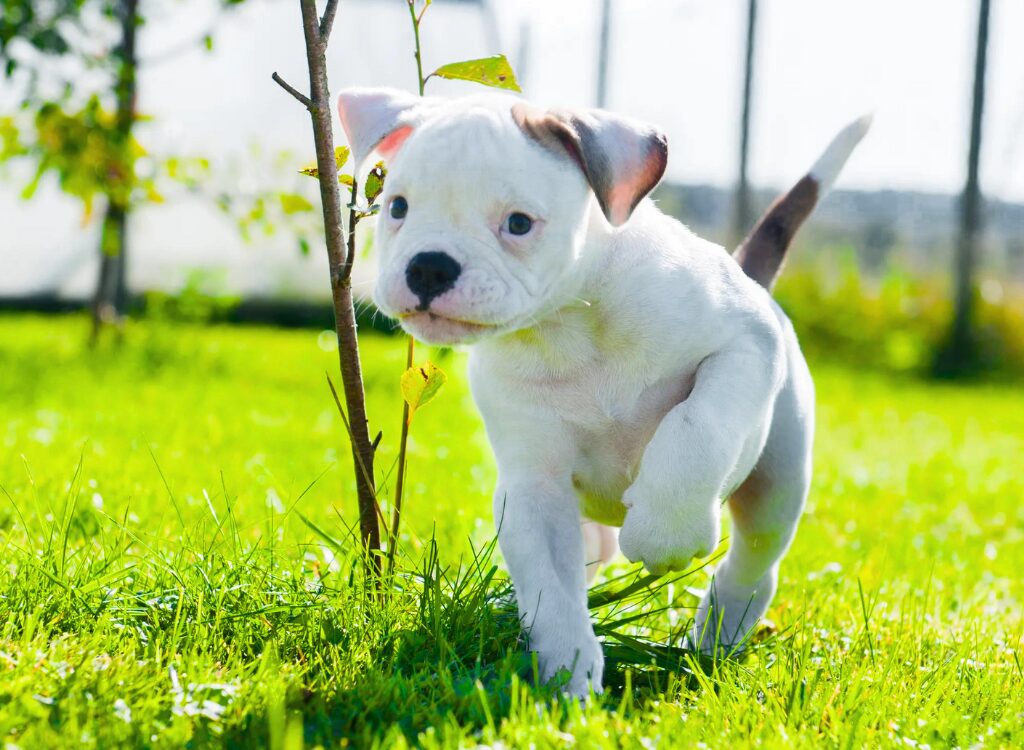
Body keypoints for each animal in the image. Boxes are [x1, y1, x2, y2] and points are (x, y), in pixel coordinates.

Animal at [339, 89, 868, 696]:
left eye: (518, 223)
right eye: (397, 207)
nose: (428, 266)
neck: (570, 325)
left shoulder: (744, 345)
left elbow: (697, 424)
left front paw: (666, 530)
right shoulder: (535, 488)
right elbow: (550, 585)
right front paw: (567, 669)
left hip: (777, 482)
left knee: (754, 563)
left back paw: (718, 634)